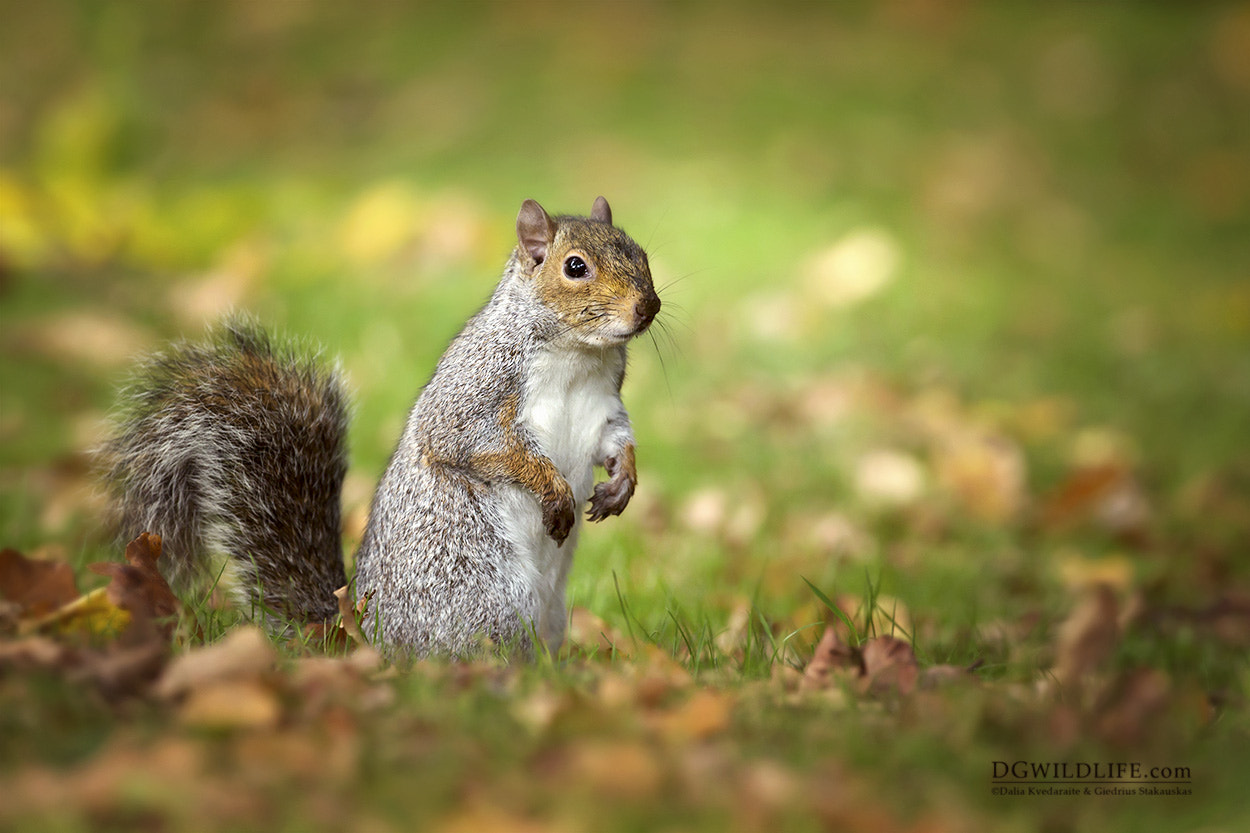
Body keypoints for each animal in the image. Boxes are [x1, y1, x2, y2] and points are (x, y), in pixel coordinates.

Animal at [102, 196, 660, 655]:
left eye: (640, 253)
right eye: (575, 267)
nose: (648, 306)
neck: (578, 355)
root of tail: (363, 637)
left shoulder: (604, 404)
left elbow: (616, 440)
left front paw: (623, 483)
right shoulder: (475, 391)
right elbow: (475, 443)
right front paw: (555, 490)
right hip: (487, 595)